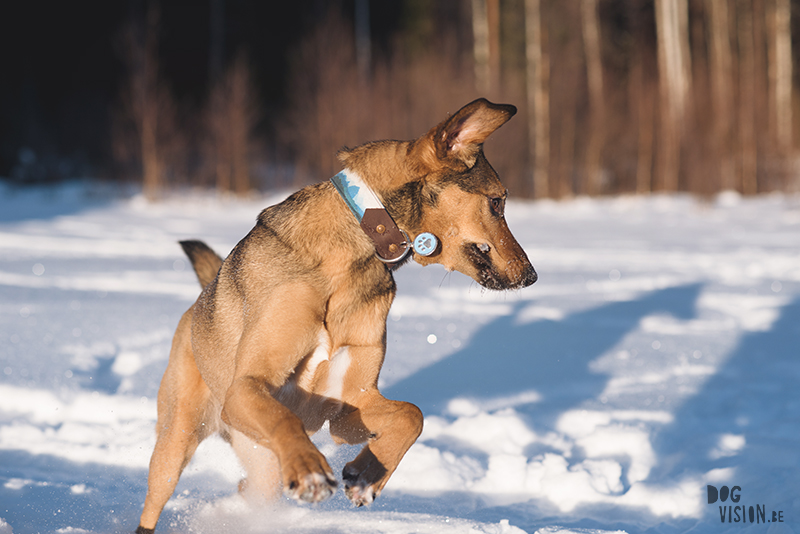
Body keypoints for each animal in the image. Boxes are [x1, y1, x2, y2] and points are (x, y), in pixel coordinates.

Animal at [138, 98, 536, 532]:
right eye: (497, 202)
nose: (531, 275)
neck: (355, 251)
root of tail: (198, 303)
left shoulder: (347, 404)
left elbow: (412, 416)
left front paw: (366, 475)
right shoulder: (248, 386)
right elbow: (285, 419)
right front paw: (311, 470)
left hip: (259, 464)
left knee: (248, 487)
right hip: (178, 439)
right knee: (155, 499)